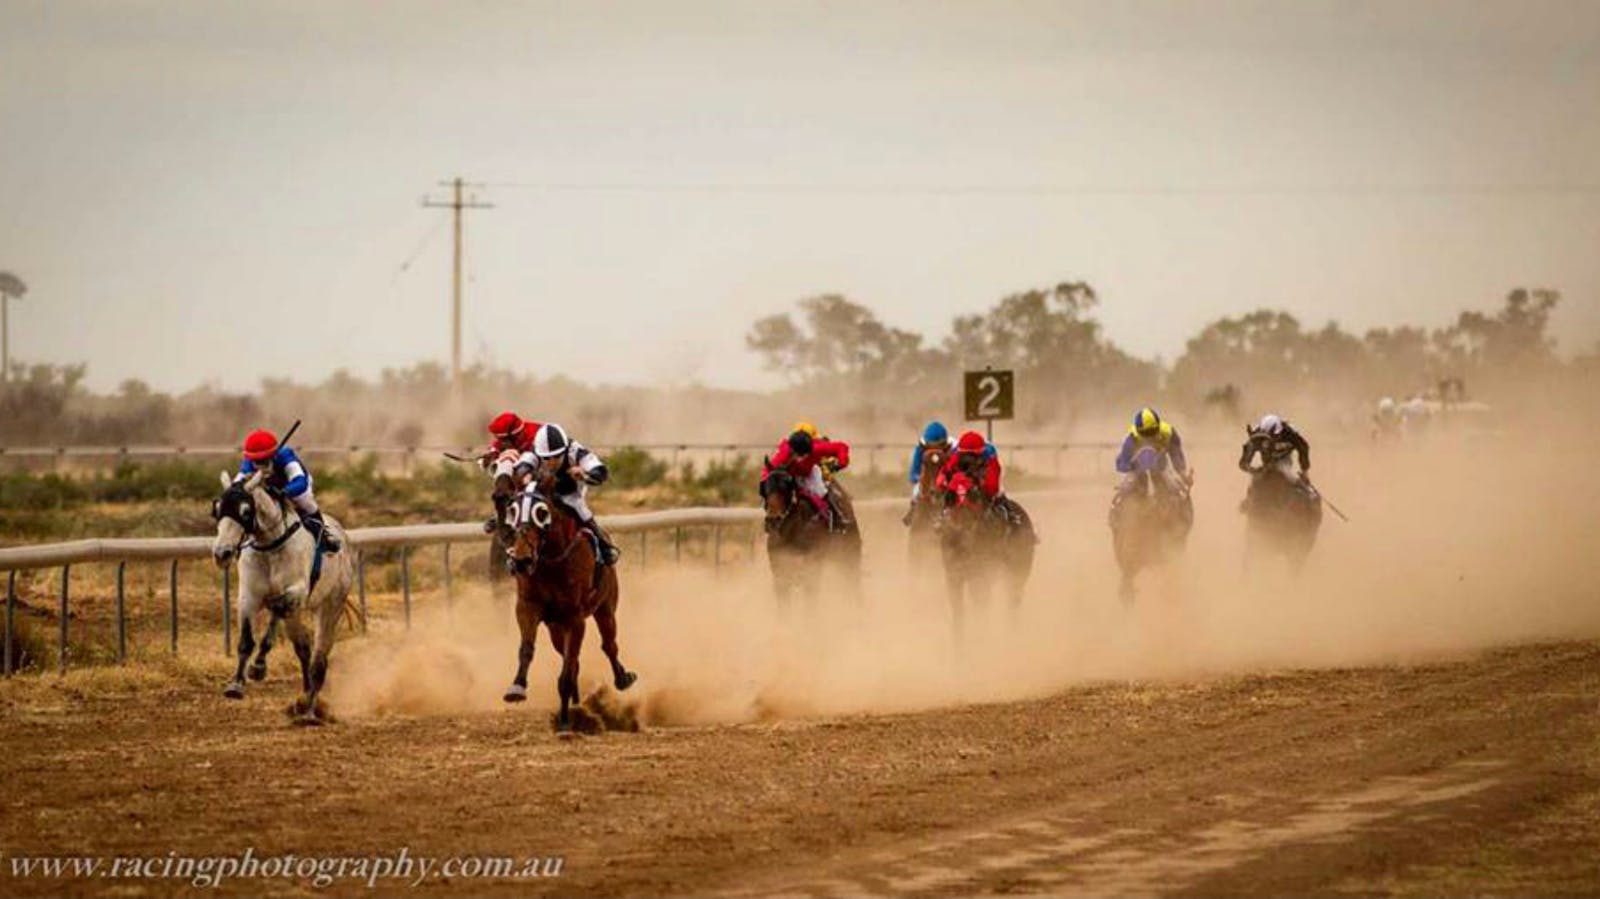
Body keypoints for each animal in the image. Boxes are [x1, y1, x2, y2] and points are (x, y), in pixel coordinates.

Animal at [211, 470, 355, 719]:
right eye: (218, 510)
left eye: (245, 511)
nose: (222, 553)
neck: (270, 546)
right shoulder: (249, 597)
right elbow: (246, 640)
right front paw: (236, 684)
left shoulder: (296, 591)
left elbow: (276, 611)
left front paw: (258, 666)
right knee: (304, 648)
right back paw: (304, 698)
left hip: (331, 605)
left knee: (319, 658)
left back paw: (310, 710)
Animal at [496, 483, 633, 729]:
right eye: (512, 510)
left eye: (541, 512)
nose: (521, 559)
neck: (552, 562)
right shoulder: (527, 608)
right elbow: (527, 649)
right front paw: (516, 688)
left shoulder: (575, 619)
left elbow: (567, 670)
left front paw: (565, 722)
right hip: (555, 629)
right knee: (573, 660)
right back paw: (577, 703)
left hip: (606, 608)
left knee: (609, 645)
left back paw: (622, 679)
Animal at [761, 460, 864, 601]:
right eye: (766, 487)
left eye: (787, 486)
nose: (772, 520)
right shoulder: (780, 576)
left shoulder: (811, 571)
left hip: (850, 560)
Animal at [934, 473, 1036, 633]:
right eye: (949, 495)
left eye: (974, 494)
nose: (950, 524)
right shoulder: (954, 575)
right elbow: (958, 611)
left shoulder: (981, 574)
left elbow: (980, 602)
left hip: (1018, 572)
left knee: (1013, 601)